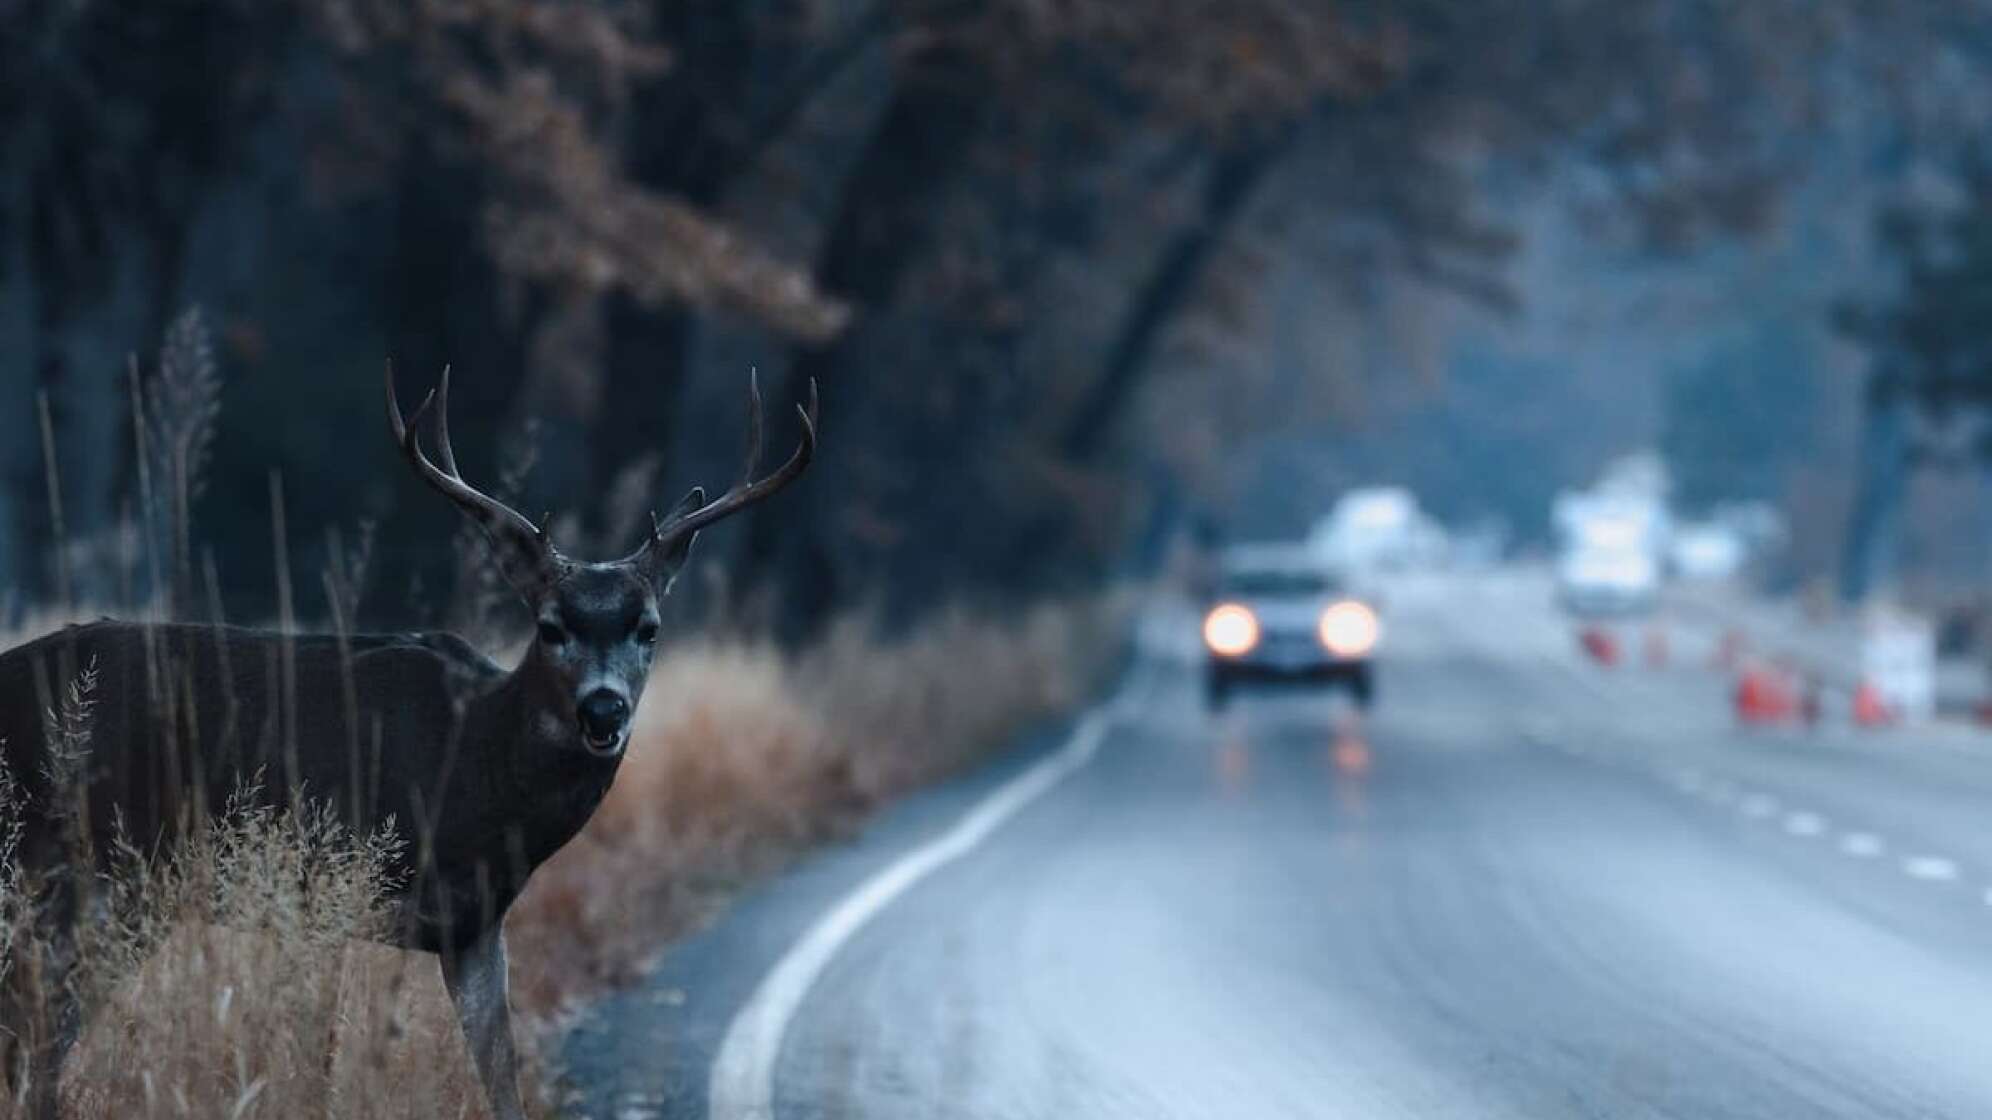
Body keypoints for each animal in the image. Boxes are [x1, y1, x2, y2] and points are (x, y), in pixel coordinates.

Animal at [0, 362, 816, 1108]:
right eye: (551, 626)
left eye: (648, 627)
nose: (604, 710)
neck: (477, 772)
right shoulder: (332, 876)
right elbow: (320, 1060)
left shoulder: (475, 926)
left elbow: (501, 1078)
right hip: (81, 866)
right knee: (36, 1032)